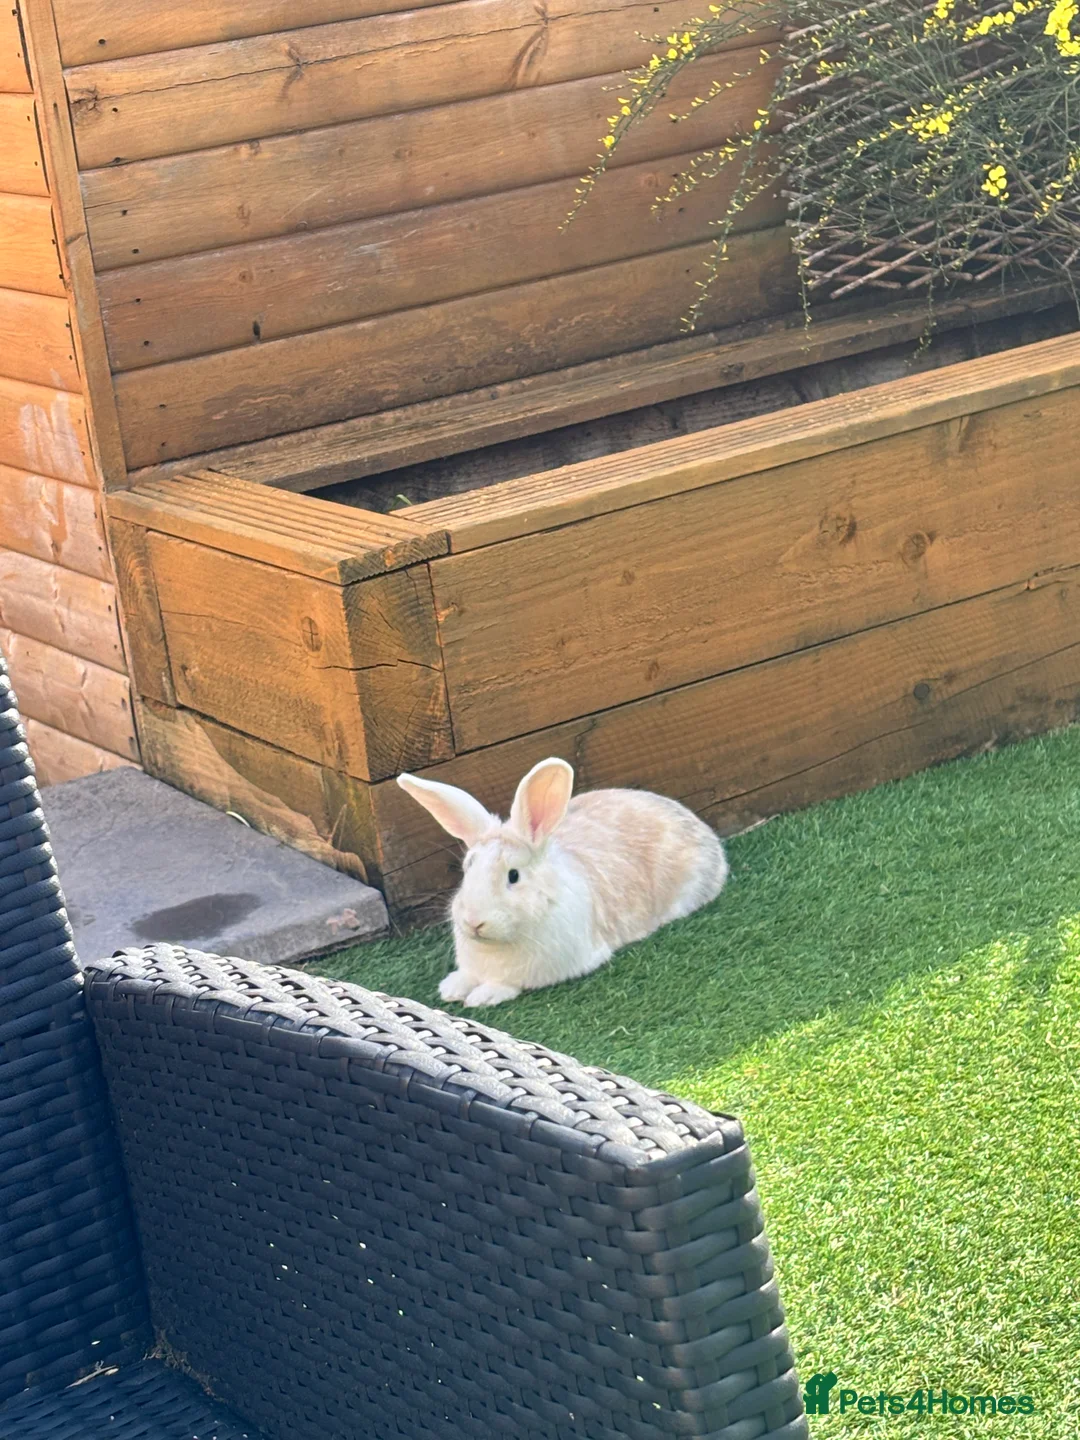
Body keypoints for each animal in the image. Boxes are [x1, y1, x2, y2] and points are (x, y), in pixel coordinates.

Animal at [396, 757, 728, 1008]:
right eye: (468, 868)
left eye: (513, 875)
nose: (473, 922)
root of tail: (705, 833)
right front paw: (451, 988)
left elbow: (508, 984)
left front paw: (483, 996)